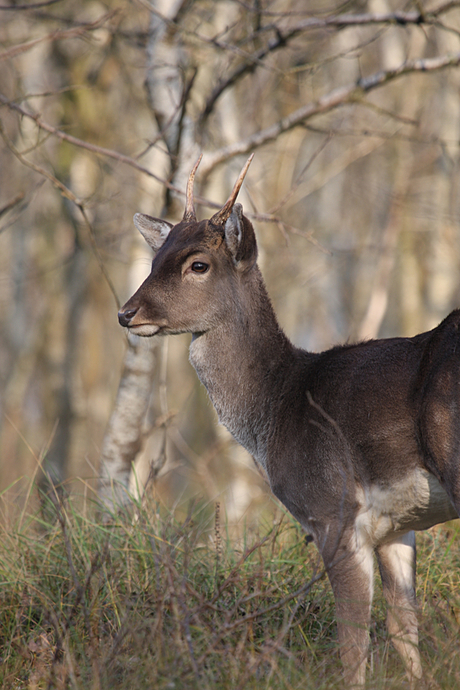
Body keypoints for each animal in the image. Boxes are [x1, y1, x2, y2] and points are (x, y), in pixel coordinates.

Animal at [118, 153, 460, 684]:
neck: (278, 406)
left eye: (198, 264)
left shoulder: (332, 509)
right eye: (154, 261)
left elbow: (353, 647)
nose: (128, 312)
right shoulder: (397, 525)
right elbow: (405, 633)